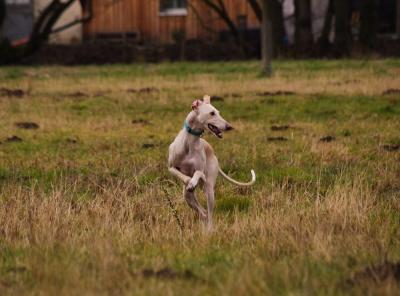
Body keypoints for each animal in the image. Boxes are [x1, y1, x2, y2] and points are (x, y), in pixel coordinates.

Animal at [167, 95, 255, 229]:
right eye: (212, 113)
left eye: (218, 112)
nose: (229, 126)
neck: (189, 142)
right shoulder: (171, 167)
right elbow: (180, 174)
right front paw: (189, 182)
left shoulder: (201, 171)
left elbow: (198, 173)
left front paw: (193, 181)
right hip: (187, 197)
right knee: (203, 212)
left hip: (209, 190)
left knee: (209, 214)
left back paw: (209, 229)